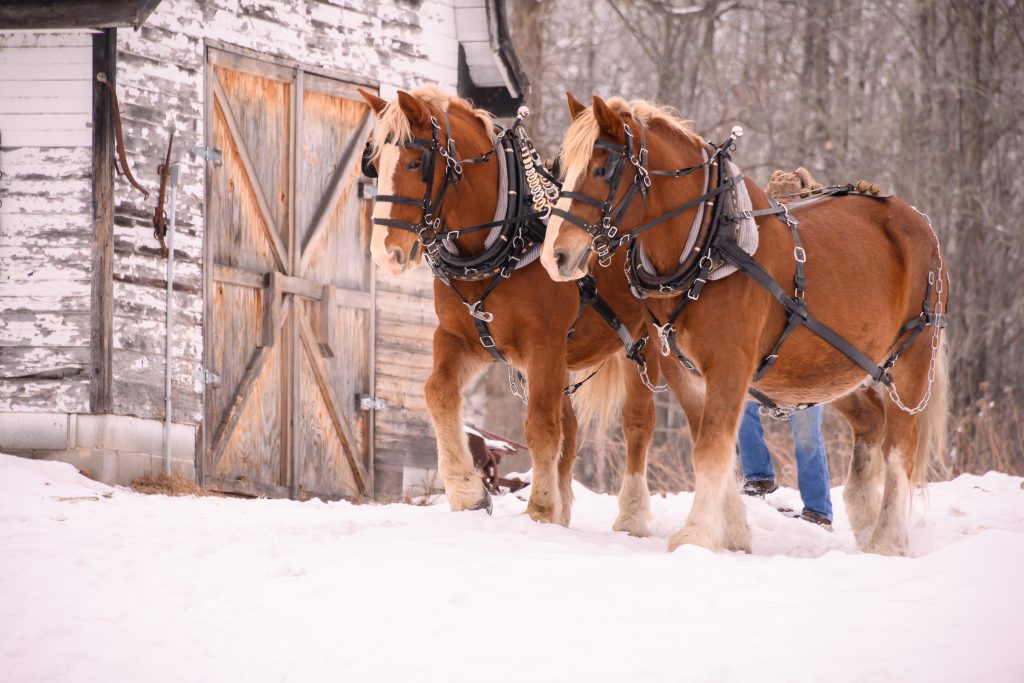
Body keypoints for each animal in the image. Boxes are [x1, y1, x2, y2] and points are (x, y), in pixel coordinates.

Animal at [358, 85, 704, 532]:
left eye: (416, 163)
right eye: (375, 164)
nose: (384, 254)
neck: (506, 237)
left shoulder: (544, 343)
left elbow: (540, 426)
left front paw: (539, 507)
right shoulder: (461, 338)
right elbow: (438, 394)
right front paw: (468, 492)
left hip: (645, 346)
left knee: (639, 423)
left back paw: (631, 515)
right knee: (570, 429)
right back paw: (564, 509)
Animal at [540, 96, 946, 557]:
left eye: (601, 169)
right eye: (561, 166)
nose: (554, 255)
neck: (708, 243)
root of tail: (916, 219)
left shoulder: (730, 365)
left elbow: (712, 447)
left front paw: (696, 534)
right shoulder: (685, 371)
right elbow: (710, 445)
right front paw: (732, 535)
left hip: (912, 358)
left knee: (900, 448)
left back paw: (886, 540)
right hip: (835, 366)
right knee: (871, 424)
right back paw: (864, 516)